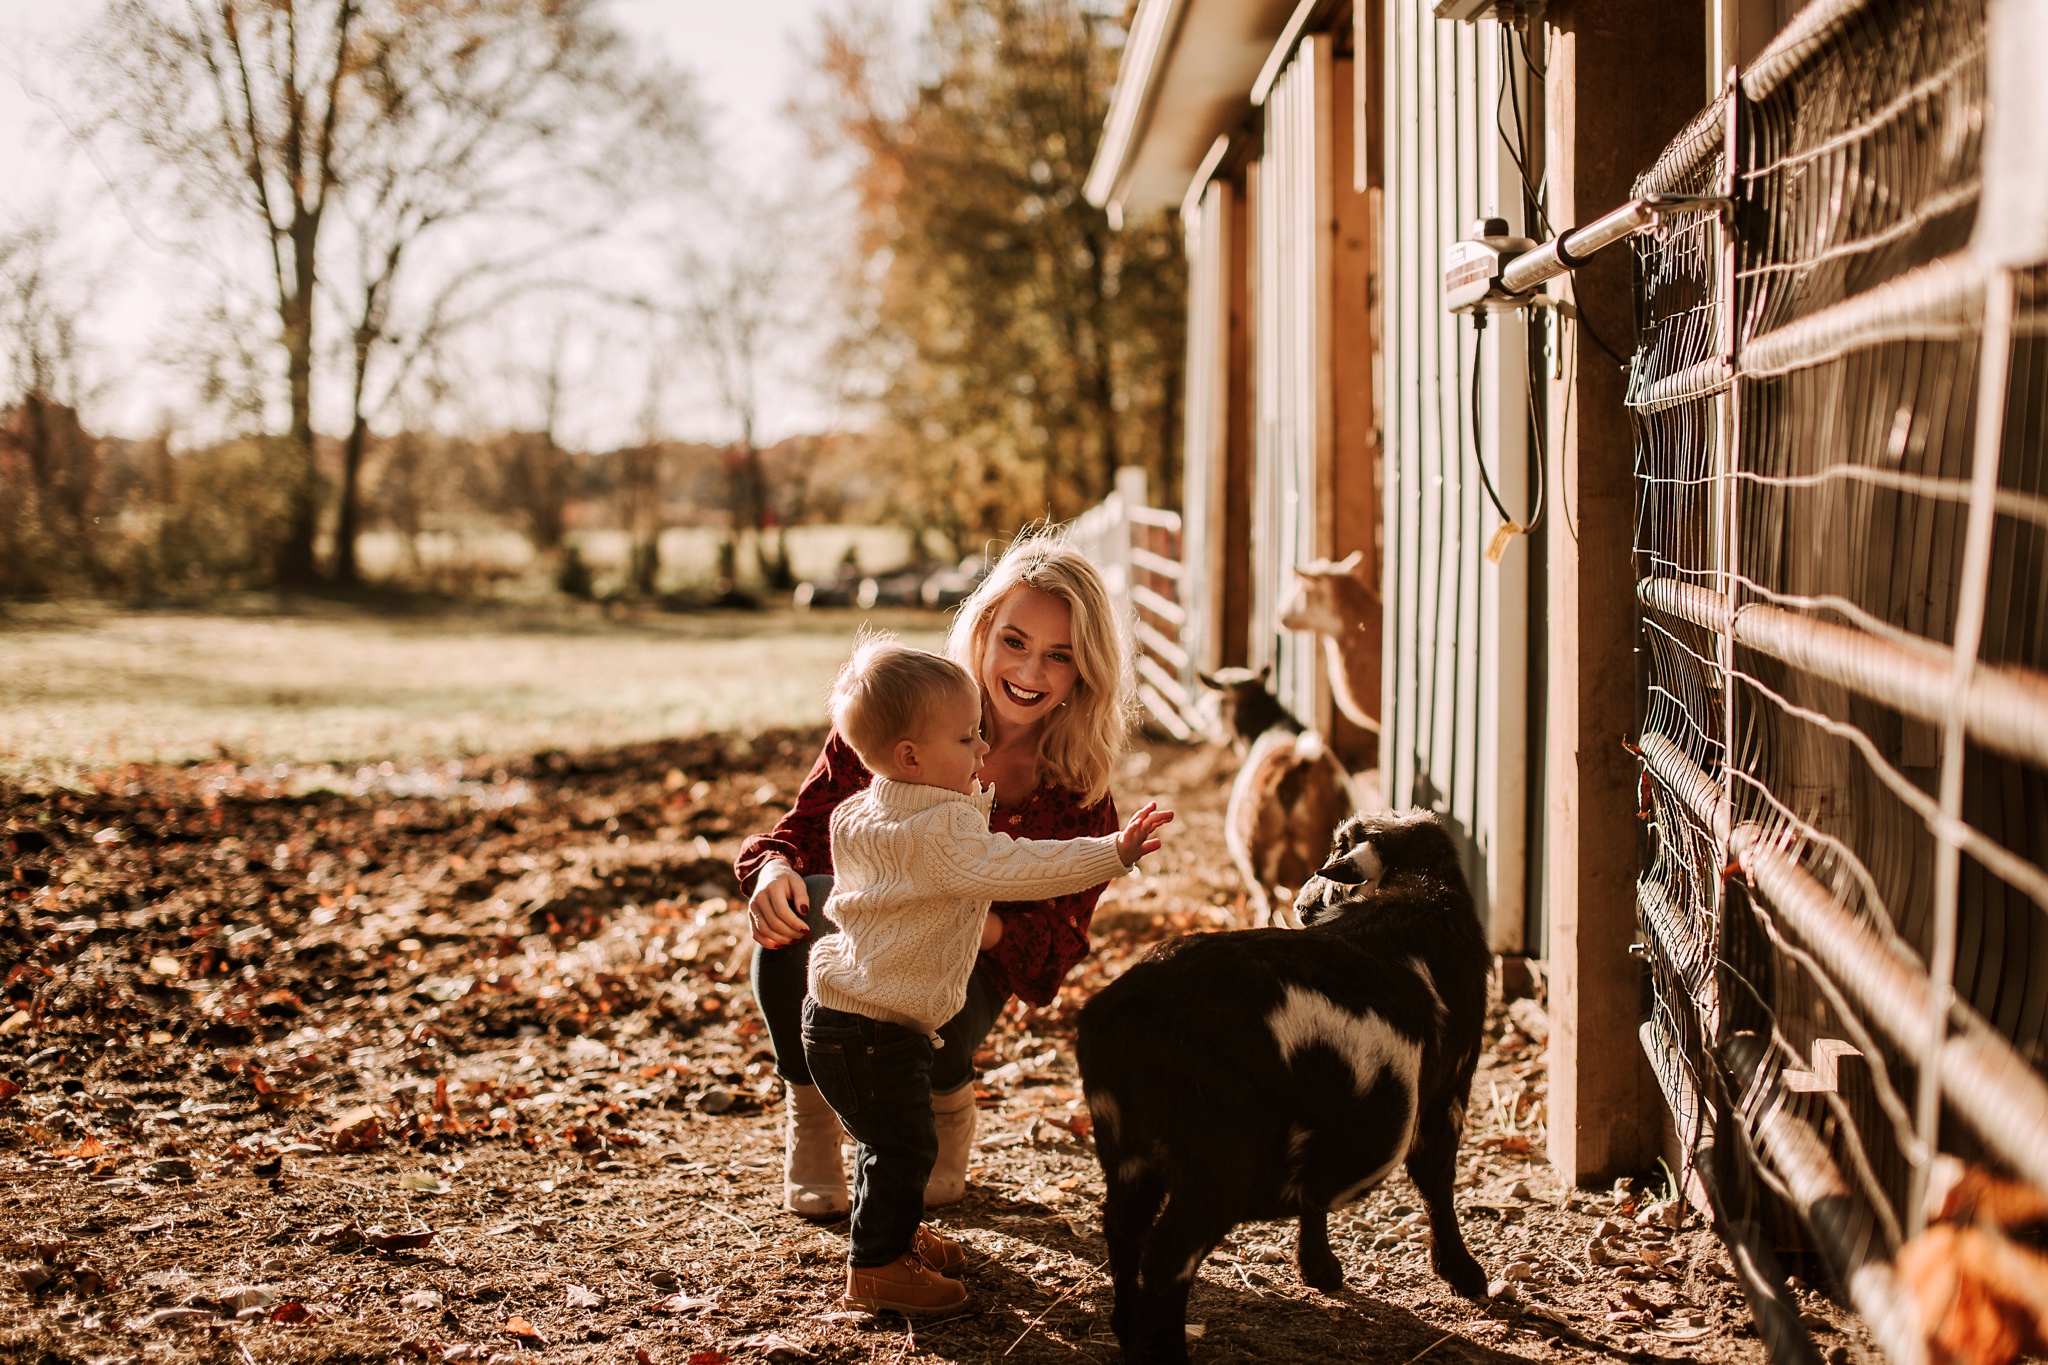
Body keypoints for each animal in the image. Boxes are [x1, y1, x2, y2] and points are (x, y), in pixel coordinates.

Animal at [1073, 810, 1490, 1365]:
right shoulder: (1448, 1088)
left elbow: (1317, 1191)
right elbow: (1436, 1179)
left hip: (1127, 1148)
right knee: (1166, 1257)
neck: (1422, 896)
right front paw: (1463, 1273)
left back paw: (1128, 1332)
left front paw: (1318, 1268)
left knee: (1123, 1228)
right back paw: (1169, 1349)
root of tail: (1119, 1012)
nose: (1300, 904)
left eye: (1336, 854)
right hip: (1216, 1160)